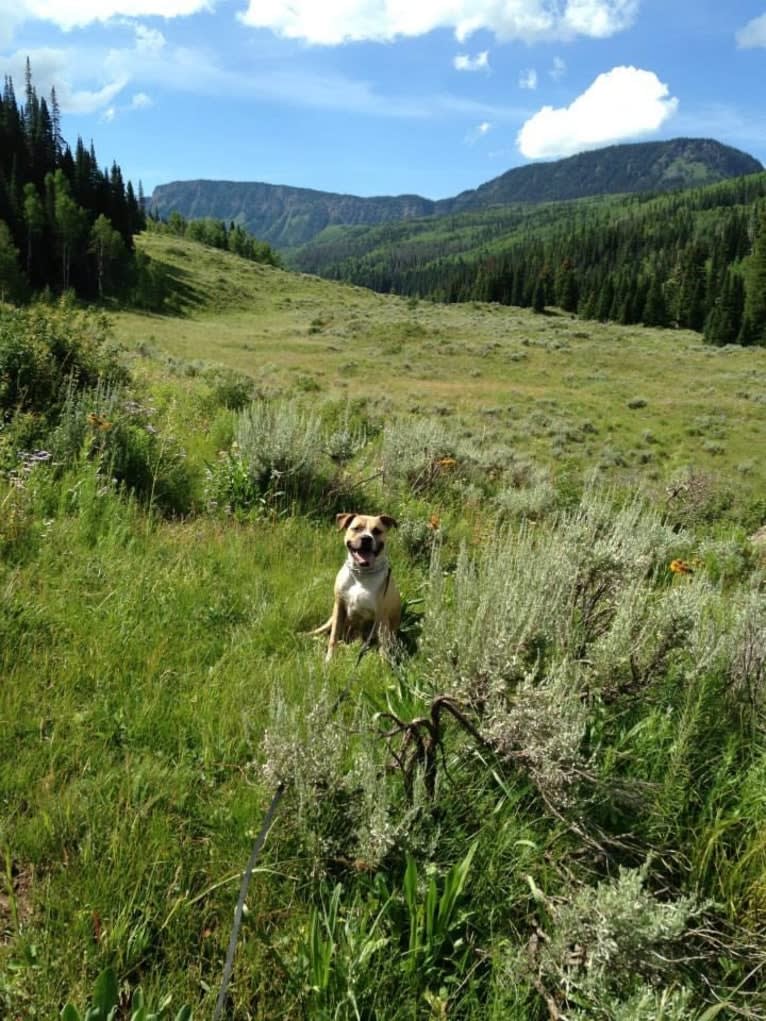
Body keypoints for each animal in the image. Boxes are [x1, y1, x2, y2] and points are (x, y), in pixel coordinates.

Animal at [312, 510, 404, 661]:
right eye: (356, 528)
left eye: (377, 531)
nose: (366, 538)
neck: (361, 574)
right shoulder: (339, 607)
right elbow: (333, 637)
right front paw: (329, 659)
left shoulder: (382, 616)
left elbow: (383, 647)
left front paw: (384, 665)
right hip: (332, 618)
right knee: (323, 631)